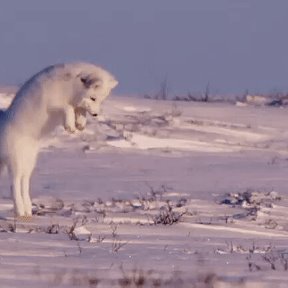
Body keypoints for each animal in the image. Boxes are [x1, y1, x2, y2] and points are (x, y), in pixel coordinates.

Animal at [0, 62, 118, 217]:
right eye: (93, 98)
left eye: (101, 100)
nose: (96, 114)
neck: (69, 87)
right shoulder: (53, 104)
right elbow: (67, 108)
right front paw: (70, 126)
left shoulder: (76, 103)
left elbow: (79, 110)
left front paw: (80, 123)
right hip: (16, 162)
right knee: (14, 184)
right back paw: (19, 210)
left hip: (29, 163)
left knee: (24, 184)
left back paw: (27, 209)